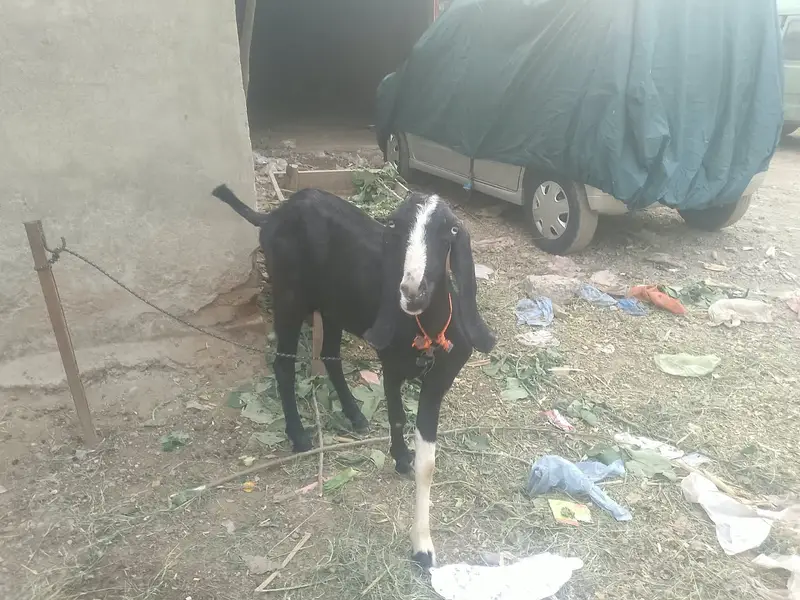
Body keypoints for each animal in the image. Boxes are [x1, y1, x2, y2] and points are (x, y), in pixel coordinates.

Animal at [211, 184, 495, 568]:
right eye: (395, 227)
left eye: (449, 231)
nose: (412, 291)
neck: (425, 329)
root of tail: (273, 215)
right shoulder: (391, 364)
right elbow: (396, 417)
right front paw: (400, 461)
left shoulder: (439, 380)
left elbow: (428, 463)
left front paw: (423, 544)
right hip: (289, 296)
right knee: (283, 363)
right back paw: (299, 435)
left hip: (333, 307)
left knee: (330, 355)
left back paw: (355, 415)